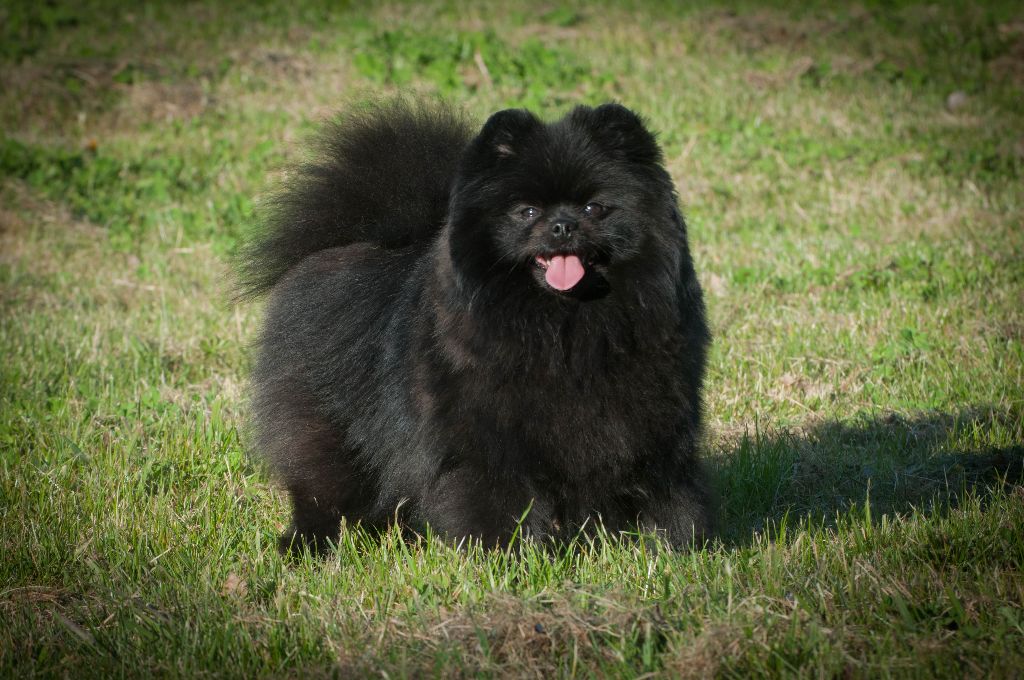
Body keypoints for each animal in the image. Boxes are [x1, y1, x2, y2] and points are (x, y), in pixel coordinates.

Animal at [243, 102, 716, 557]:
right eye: (527, 211)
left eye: (593, 208)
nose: (562, 225)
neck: (564, 329)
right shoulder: (486, 439)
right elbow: (495, 501)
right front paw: (503, 560)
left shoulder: (648, 430)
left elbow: (663, 498)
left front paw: (671, 551)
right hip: (329, 429)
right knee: (322, 490)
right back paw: (307, 544)